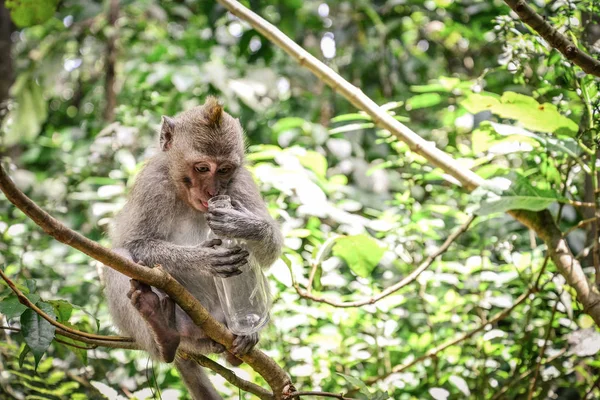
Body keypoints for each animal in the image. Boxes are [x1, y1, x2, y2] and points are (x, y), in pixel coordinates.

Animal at [102, 97, 282, 400]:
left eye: (224, 169)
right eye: (202, 168)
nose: (213, 192)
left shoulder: (241, 183)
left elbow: (270, 250)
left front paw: (242, 224)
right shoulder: (153, 183)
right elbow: (135, 243)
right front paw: (205, 258)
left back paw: (240, 343)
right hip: (186, 330)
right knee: (119, 258)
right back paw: (163, 334)